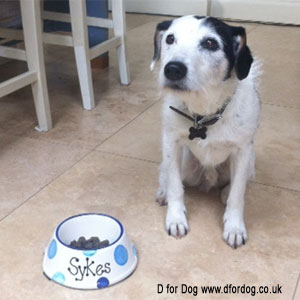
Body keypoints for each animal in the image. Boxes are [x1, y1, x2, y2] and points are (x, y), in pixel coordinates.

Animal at [151, 15, 262, 248]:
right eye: (170, 38)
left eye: (211, 43)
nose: (172, 69)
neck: (203, 112)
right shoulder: (172, 143)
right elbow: (175, 186)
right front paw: (175, 219)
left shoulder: (242, 151)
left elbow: (238, 194)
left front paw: (234, 227)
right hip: (186, 162)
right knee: (164, 172)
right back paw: (163, 191)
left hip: (250, 162)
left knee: (237, 184)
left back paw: (225, 191)